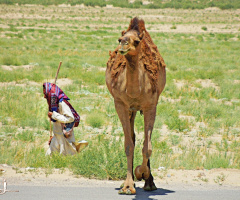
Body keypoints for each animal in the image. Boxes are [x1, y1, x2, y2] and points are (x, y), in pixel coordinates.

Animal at [106, 17, 166, 195]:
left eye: (137, 41)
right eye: (119, 39)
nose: (123, 46)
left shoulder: (151, 105)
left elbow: (148, 147)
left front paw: (142, 173)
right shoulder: (120, 104)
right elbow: (128, 144)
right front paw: (128, 186)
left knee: (145, 140)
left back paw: (149, 182)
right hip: (130, 110)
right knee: (131, 137)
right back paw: (129, 181)